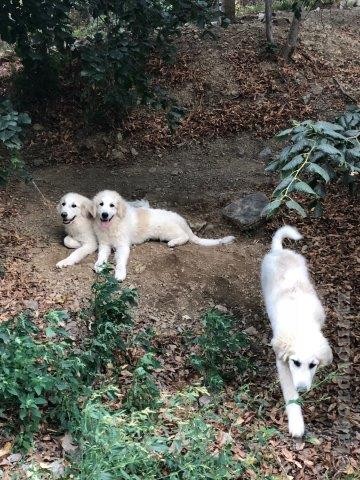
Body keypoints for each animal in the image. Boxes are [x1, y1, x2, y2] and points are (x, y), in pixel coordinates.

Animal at [91, 189, 235, 282]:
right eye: (101, 204)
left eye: (112, 205)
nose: (104, 215)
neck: (112, 226)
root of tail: (180, 219)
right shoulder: (104, 244)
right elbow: (101, 255)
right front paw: (98, 264)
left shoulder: (123, 246)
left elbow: (120, 261)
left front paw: (120, 274)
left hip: (166, 231)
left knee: (185, 236)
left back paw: (173, 243)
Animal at [260, 225, 334, 438]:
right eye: (296, 362)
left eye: (312, 365)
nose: (302, 389)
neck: (301, 325)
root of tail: (279, 251)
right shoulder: (282, 361)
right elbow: (289, 392)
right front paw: (296, 423)